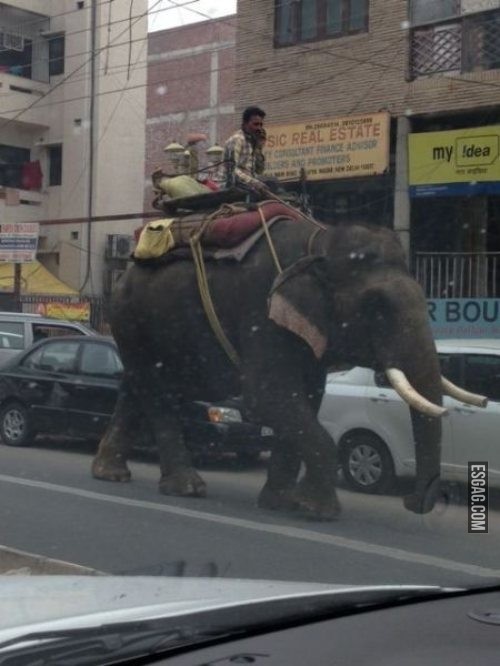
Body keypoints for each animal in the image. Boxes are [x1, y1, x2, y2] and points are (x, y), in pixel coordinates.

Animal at [91, 206, 484, 520]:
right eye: (376, 307)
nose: (411, 503)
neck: (319, 243)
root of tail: (125, 273)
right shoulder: (262, 311)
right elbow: (266, 397)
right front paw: (318, 511)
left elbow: (306, 398)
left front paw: (280, 504)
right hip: (132, 317)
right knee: (157, 392)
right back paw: (186, 488)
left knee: (137, 385)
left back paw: (109, 473)